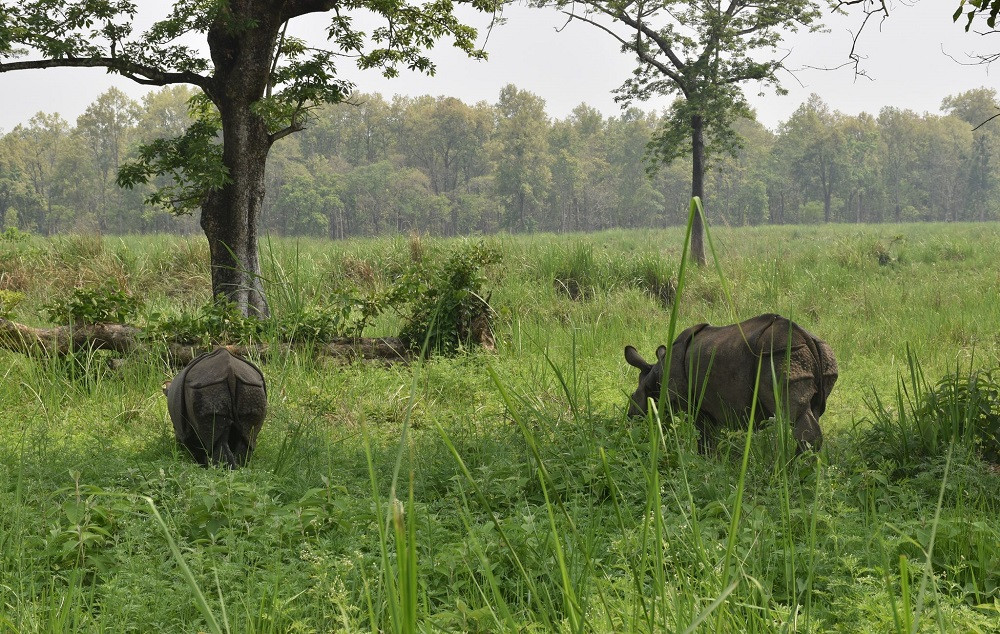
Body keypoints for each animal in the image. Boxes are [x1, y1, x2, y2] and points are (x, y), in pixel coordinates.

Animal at [624, 314, 836, 452]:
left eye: (633, 398)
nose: (630, 419)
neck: (655, 374)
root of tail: (806, 337)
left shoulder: (692, 403)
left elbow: (704, 435)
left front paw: (704, 459)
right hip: (819, 354)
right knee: (814, 410)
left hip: (780, 354)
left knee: (793, 412)